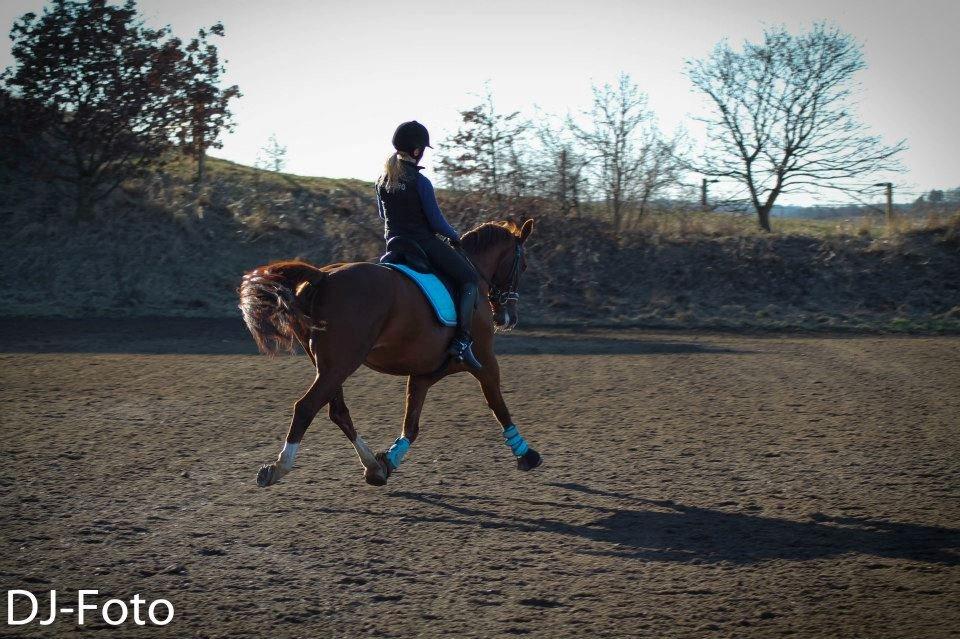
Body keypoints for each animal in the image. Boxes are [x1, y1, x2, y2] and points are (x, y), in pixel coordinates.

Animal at [236, 218, 540, 488]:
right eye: (523, 265)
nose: (508, 318)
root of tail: (324, 276)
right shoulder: (485, 362)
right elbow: (499, 407)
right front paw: (526, 454)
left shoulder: (423, 374)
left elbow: (411, 425)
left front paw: (390, 460)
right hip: (341, 365)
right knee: (306, 407)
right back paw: (278, 468)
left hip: (330, 366)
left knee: (338, 412)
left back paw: (373, 466)